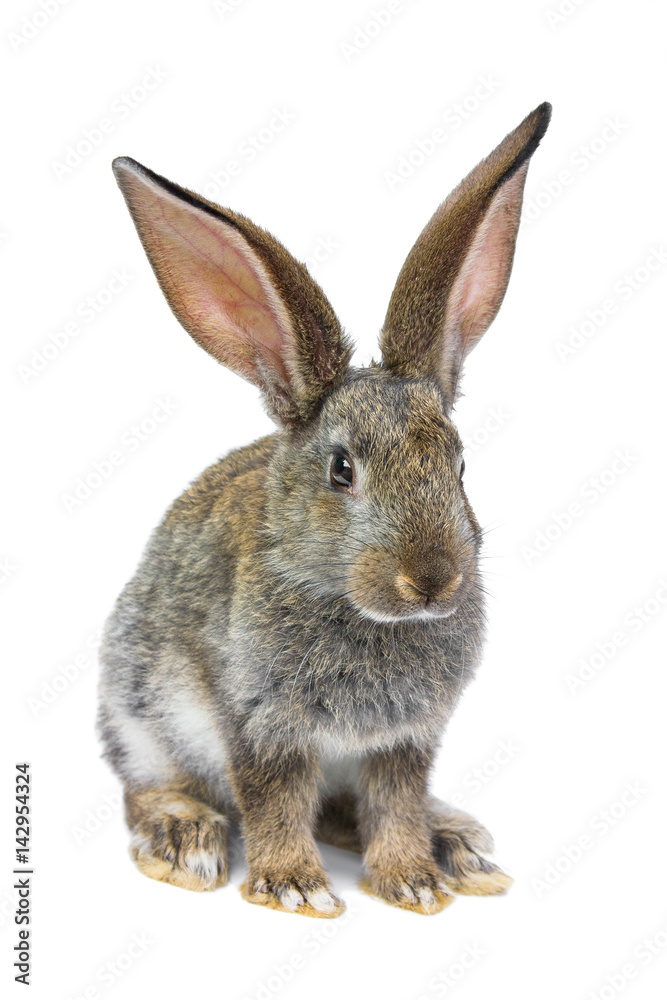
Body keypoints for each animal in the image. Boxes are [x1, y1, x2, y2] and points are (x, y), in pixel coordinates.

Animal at [98, 102, 551, 917]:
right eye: (342, 470)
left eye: (460, 465)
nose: (432, 580)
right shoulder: (259, 723)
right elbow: (275, 800)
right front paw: (295, 888)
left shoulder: (404, 740)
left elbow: (395, 803)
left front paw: (412, 880)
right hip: (139, 711)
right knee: (147, 788)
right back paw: (185, 838)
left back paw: (458, 848)